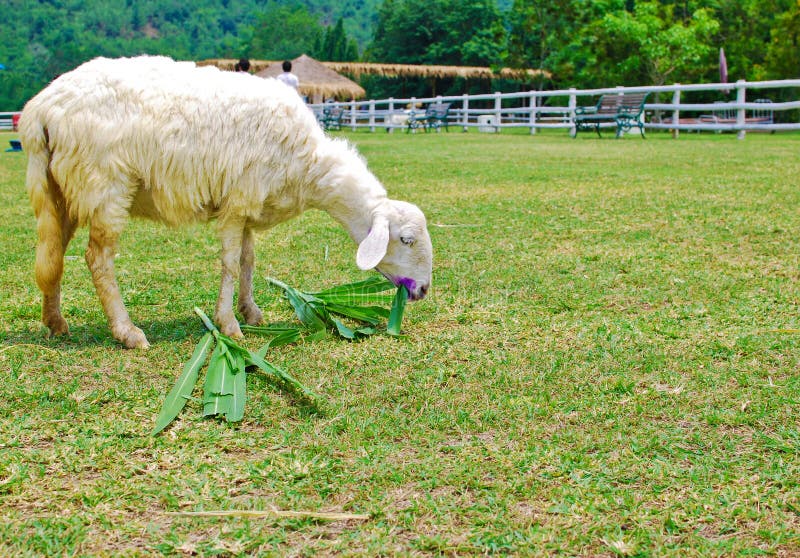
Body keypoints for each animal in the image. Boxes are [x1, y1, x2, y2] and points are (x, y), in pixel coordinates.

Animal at [18, 54, 432, 348]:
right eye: (406, 240)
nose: (424, 291)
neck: (308, 165)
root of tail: (41, 109)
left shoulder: (247, 205)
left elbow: (248, 261)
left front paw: (251, 311)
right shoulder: (238, 200)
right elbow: (231, 265)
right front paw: (229, 324)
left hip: (62, 188)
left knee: (52, 255)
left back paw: (55, 321)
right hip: (105, 184)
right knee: (98, 259)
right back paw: (126, 331)